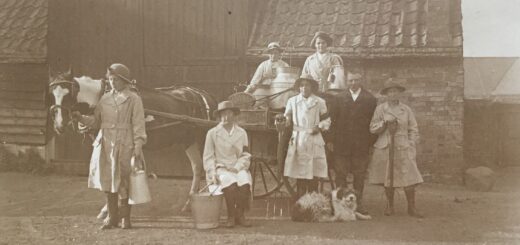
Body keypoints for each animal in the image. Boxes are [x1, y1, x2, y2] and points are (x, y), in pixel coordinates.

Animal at [48, 69, 217, 212]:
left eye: (68, 94)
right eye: (52, 94)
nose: (59, 125)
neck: (101, 98)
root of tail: (203, 95)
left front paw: (109, 208)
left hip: (201, 138)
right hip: (188, 139)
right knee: (197, 167)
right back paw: (189, 203)